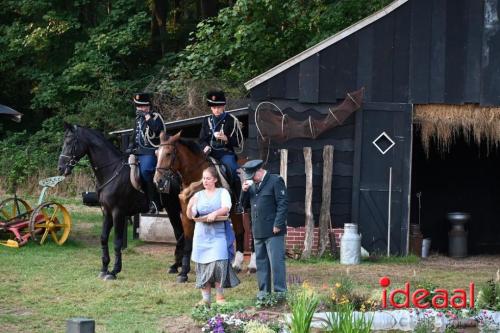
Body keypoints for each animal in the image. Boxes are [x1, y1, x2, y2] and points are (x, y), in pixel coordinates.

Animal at [58, 123, 184, 278]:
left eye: (70, 142)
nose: (60, 168)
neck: (112, 171)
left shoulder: (118, 212)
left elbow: (117, 241)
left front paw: (114, 271)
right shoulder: (107, 212)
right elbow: (103, 237)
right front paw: (104, 268)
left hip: (174, 209)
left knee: (181, 234)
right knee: (179, 234)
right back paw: (175, 266)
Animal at [152, 131, 246, 282]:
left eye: (168, 153)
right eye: (156, 154)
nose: (157, 181)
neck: (196, 178)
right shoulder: (186, 215)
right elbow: (188, 241)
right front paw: (183, 272)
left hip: (239, 212)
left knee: (241, 232)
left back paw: (238, 264)